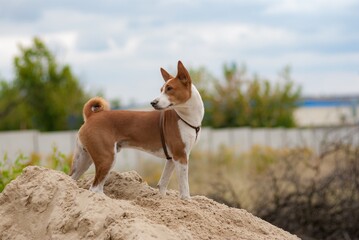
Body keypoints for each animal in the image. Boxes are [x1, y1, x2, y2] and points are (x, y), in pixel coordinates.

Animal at [69, 61, 205, 200]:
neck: (185, 117)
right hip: (107, 158)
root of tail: (92, 116)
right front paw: (187, 200)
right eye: (162, 90)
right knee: (95, 188)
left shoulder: (172, 158)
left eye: (169, 89)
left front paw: (161, 199)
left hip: (83, 160)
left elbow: (163, 183)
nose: (153, 102)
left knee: (72, 180)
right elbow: (184, 187)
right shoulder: (180, 156)